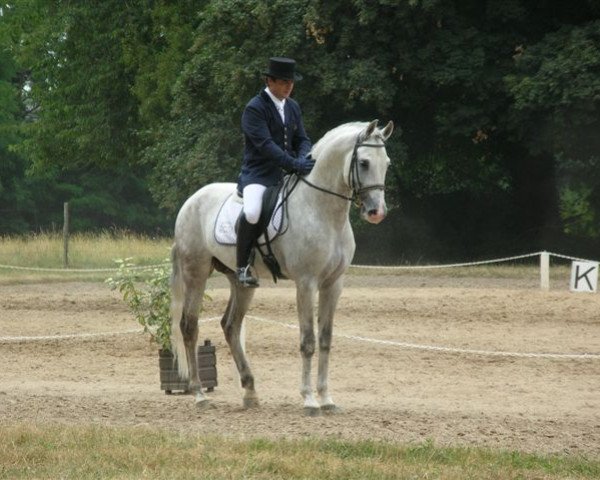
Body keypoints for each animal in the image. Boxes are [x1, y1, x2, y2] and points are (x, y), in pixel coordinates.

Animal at [170, 119, 394, 412]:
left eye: (387, 163)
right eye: (365, 162)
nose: (377, 213)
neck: (323, 211)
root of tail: (191, 201)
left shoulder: (333, 284)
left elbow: (325, 340)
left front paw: (326, 399)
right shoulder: (306, 283)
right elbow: (308, 341)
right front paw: (309, 400)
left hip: (241, 282)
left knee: (230, 326)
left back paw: (250, 392)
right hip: (195, 273)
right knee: (189, 325)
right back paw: (199, 394)